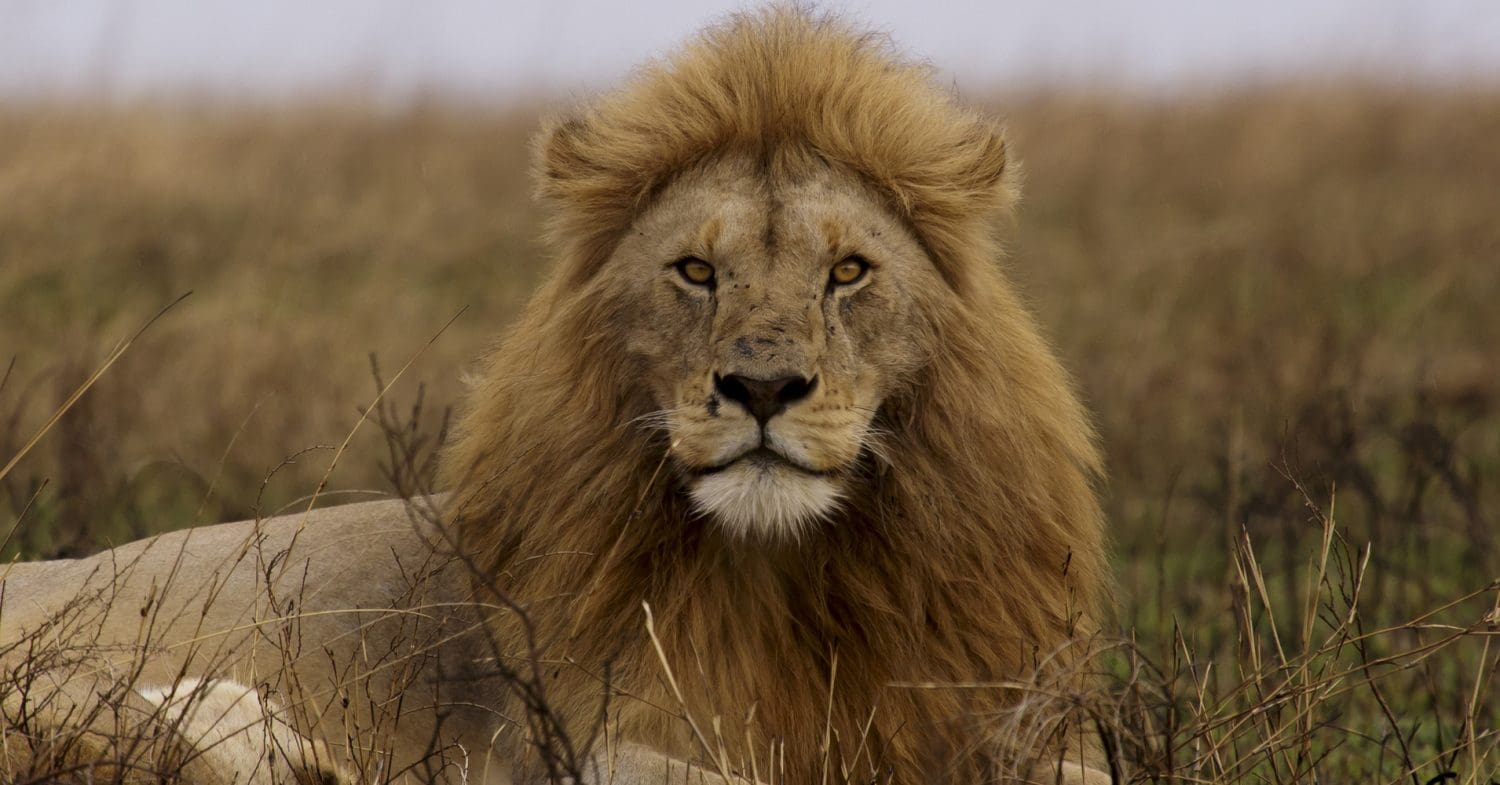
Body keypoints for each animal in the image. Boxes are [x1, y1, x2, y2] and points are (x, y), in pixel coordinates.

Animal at [2, 7, 1116, 785]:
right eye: (695, 272)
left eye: (847, 272)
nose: (761, 386)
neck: (787, 579)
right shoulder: (567, 738)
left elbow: (1092, 768)